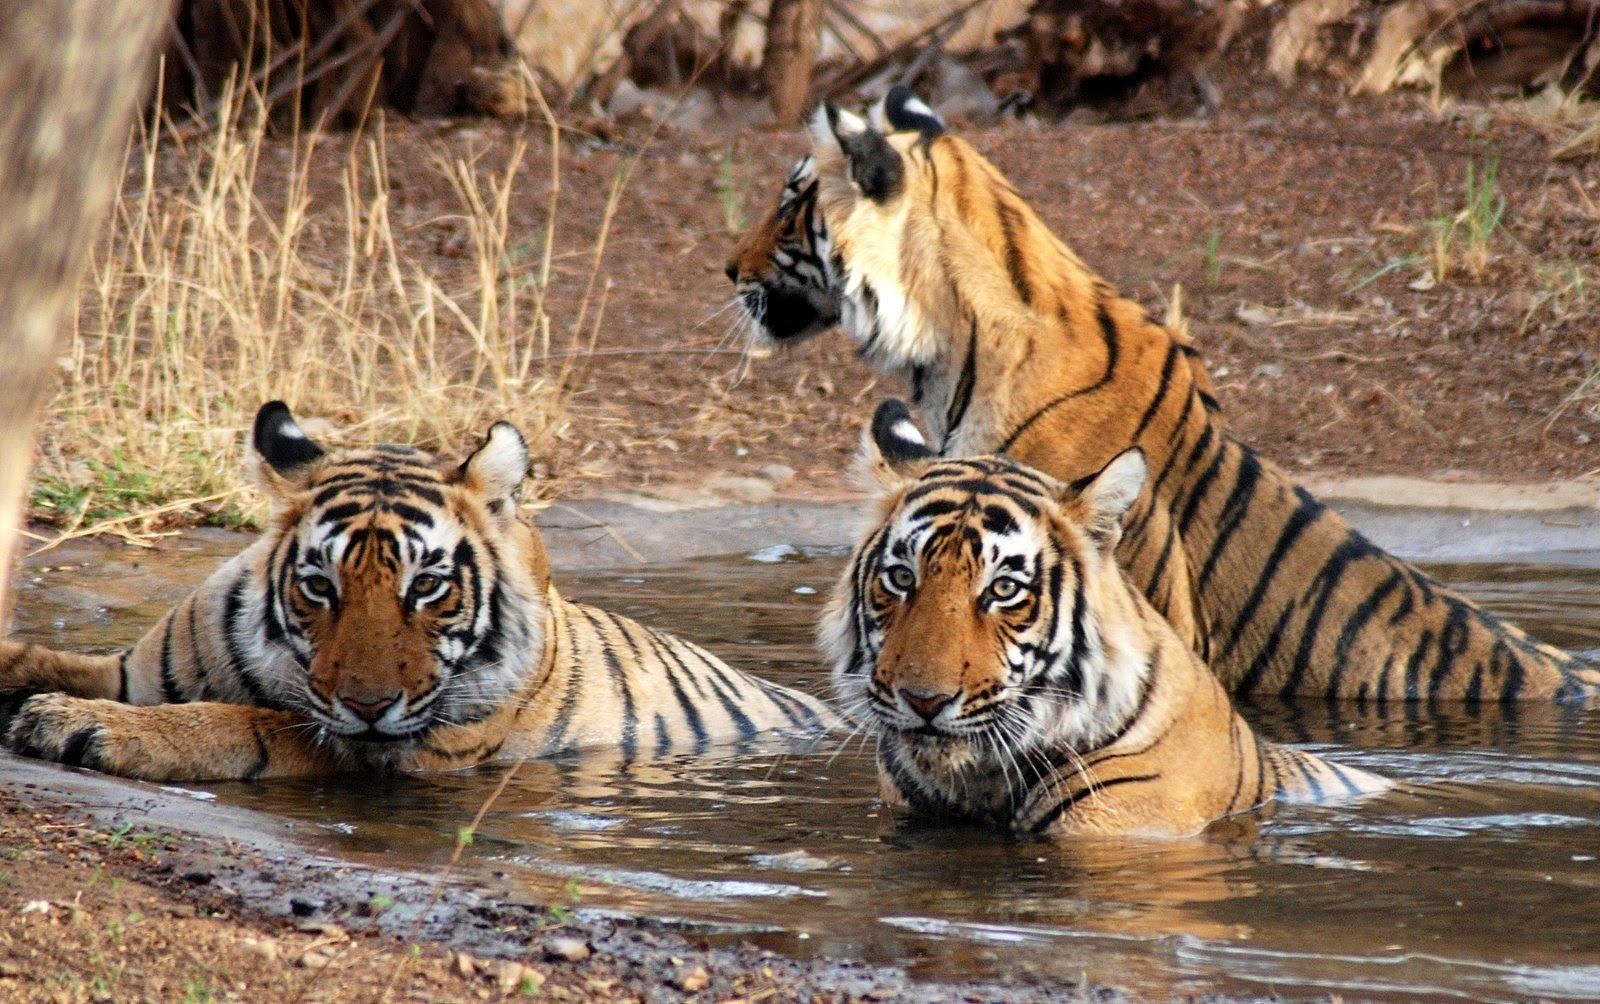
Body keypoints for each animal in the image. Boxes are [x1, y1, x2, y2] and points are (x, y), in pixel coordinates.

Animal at [0, 401, 844, 783]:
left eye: (428, 587)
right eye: (320, 586)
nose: (369, 704)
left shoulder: (386, 748)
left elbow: (240, 722)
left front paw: (79, 725)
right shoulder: (131, 670)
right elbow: (42, 659)